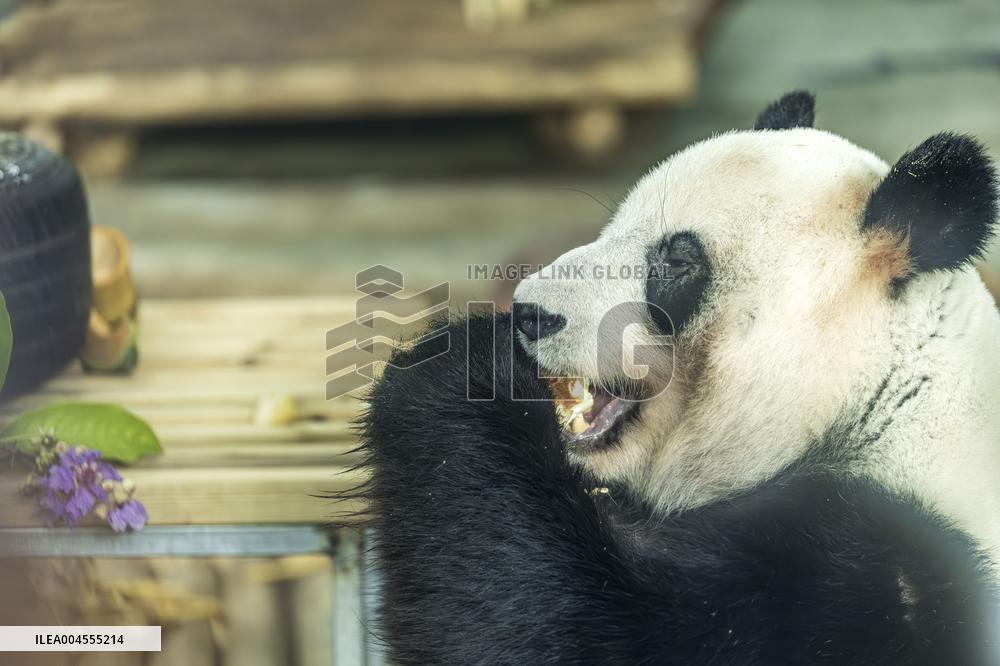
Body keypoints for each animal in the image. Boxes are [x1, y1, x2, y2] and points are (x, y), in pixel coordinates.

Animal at [356, 92, 1000, 664]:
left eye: (677, 261)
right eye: (613, 227)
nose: (530, 313)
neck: (882, 400)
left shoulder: (870, 579)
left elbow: (555, 629)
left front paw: (461, 366)